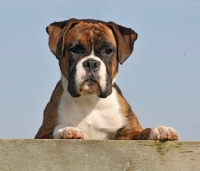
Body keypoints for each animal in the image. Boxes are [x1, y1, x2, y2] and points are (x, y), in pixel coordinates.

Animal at [34, 18, 180, 140]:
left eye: (108, 51)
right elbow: (54, 130)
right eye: (75, 50)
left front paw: (158, 130)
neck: (90, 100)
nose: (91, 63)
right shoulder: (41, 135)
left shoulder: (125, 132)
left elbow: (140, 133)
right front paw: (66, 129)